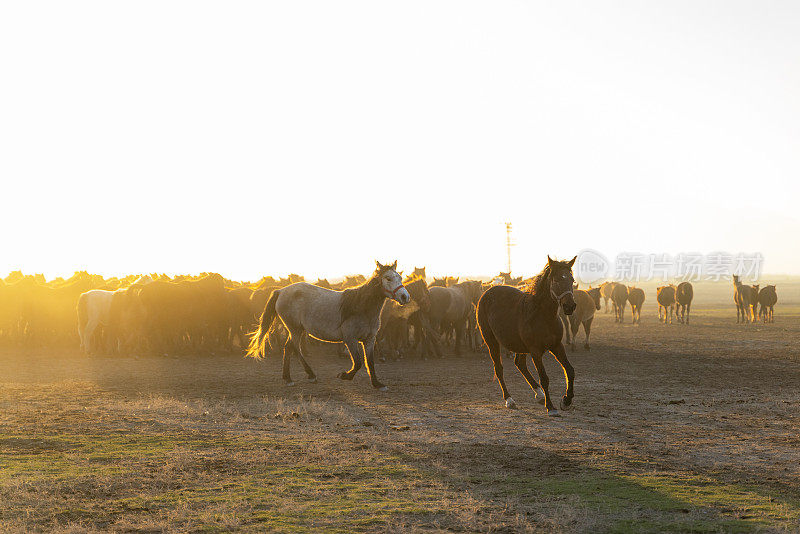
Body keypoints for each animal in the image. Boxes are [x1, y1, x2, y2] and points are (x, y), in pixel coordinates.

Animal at [248, 262, 412, 392]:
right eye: (388, 278)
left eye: (400, 278)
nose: (405, 297)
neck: (360, 307)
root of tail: (281, 291)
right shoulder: (350, 339)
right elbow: (358, 362)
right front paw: (344, 375)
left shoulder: (369, 340)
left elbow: (369, 362)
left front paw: (377, 384)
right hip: (294, 329)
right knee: (293, 348)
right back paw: (302, 376)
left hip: (297, 330)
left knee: (289, 348)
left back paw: (294, 377)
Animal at [478, 258, 580, 416]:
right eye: (557, 280)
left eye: (572, 280)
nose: (570, 306)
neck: (543, 316)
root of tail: (487, 292)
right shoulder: (535, 351)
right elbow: (544, 378)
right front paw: (551, 407)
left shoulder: (557, 346)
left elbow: (569, 370)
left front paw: (566, 401)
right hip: (491, 341)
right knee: (499, 369)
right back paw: (509, 400)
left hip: (519, 345)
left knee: (520, 364)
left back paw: (539, 394)